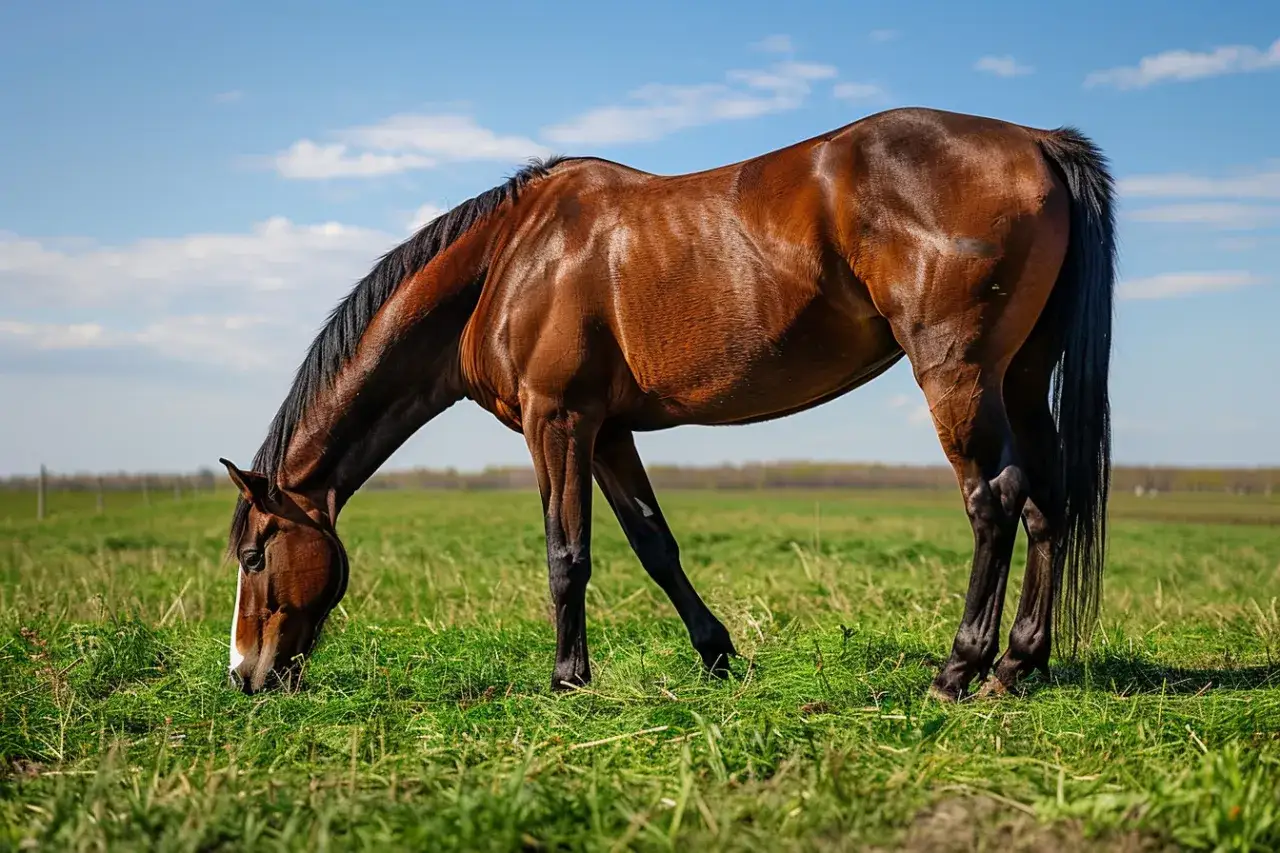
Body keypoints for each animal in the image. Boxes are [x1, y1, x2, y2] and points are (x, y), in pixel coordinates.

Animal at [221, 105, 1115, 701]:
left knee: (994, 499)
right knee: (1046, 500)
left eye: (256, 554)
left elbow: (567, 554)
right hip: (1021, 378)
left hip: (957, 373)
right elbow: (656, 545)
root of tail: (1035, 141)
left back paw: (959, 668)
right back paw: (1018, 663)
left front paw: (568, 679)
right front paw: (718, 655)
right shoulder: (609, 430)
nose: (244, 674)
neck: (509, 260)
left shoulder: (557, 421)